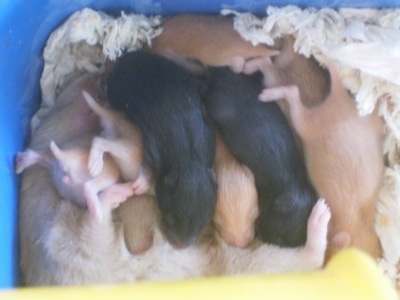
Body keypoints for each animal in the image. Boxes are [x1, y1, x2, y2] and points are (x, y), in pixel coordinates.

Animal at [106, 51, 217, 248]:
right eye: (171, 218)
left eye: (203, 223)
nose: (181, 246)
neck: (189, 160)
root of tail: (125, 60)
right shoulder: (154, 149)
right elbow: (147, 163)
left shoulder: (208, 138)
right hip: (115, 90)